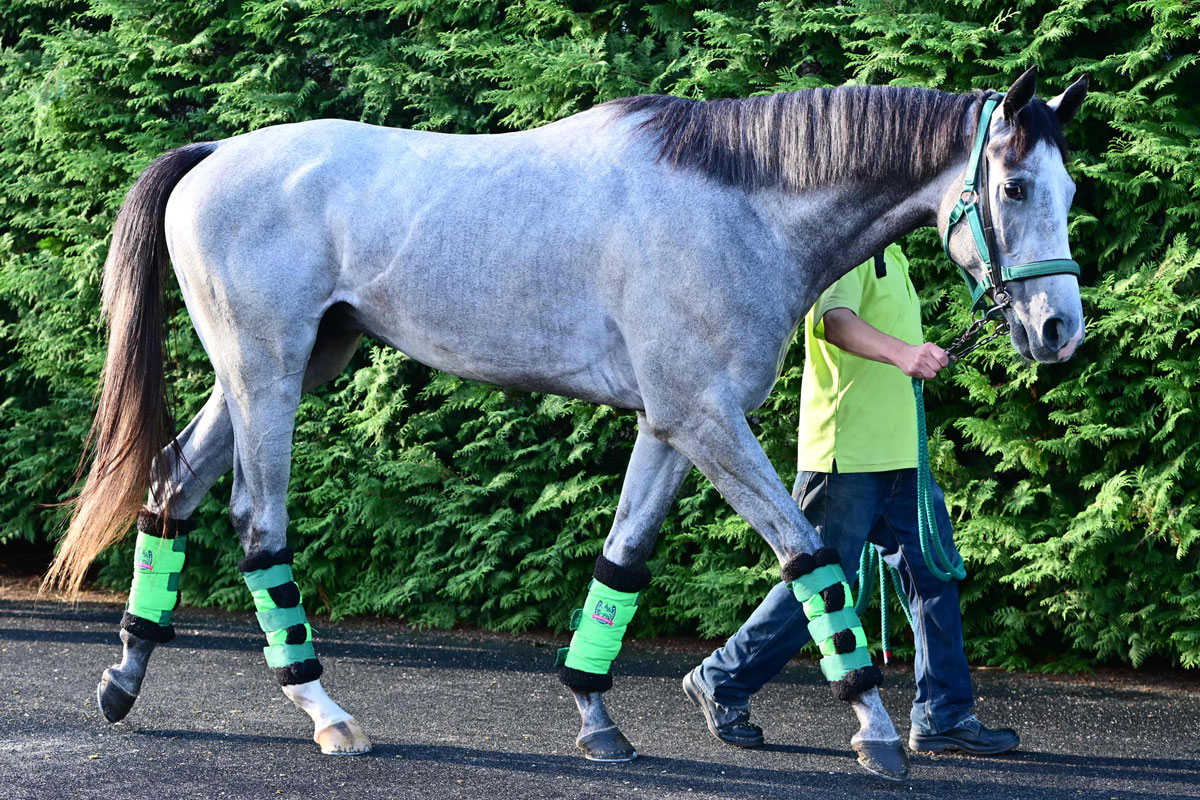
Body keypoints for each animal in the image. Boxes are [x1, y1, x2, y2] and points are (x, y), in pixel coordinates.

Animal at [45, 66, 1087, 780]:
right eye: (1015, 189)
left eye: (1070, 191)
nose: (1058, 330)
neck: (739, 205)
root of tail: (213, 156)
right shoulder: (706, 421)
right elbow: (809, 556)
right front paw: (873, 728)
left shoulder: (670, 428)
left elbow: (621, 564)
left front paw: (597, 720)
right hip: (266, 374)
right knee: (256, 525)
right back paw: (326, 713)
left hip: (279, 367)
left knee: (172, 482)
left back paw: (124, 679)